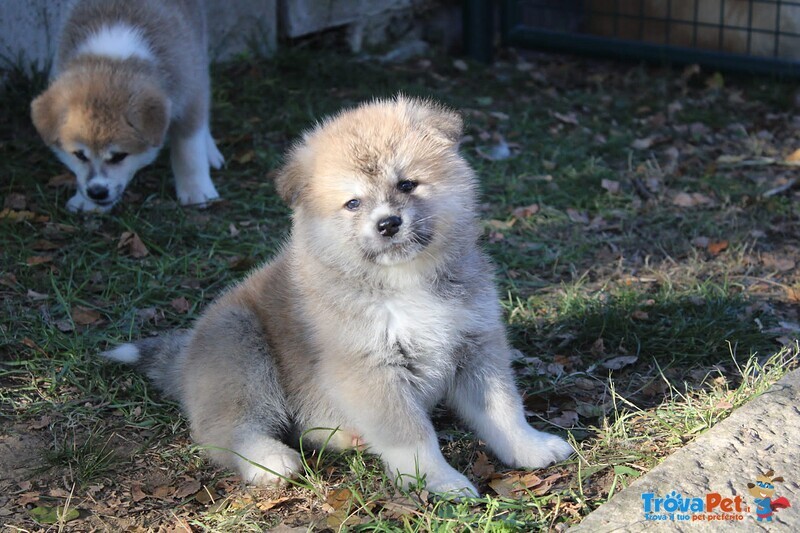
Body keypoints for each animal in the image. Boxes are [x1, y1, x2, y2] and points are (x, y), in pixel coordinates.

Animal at [30, 0, 222, 212]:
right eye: (79, 155)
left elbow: (189, 150)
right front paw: (85, 203)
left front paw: (197, 191)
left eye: (119, 156)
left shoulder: (189, 93)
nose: (97, 193)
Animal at [103, 95, 572, 494]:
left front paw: (529, 446)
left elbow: (503, 410)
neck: (404, 282)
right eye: (353, 203)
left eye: (407, 184)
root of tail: (185, 359)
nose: (388, 224)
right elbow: (413, 436)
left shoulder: (476, 346)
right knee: (225, 431)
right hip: (239, 346)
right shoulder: (370, 371)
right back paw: (269, 460)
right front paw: (438, 481)